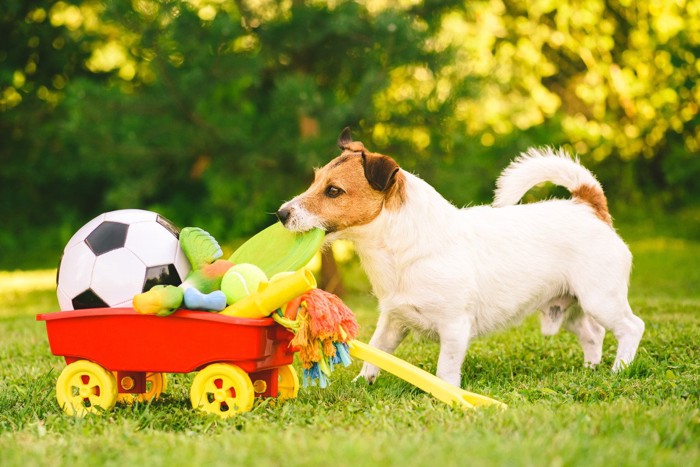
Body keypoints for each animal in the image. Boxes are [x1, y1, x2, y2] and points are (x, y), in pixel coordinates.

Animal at [274, 127, 644, 388]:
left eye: (333, 191)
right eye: (315, 180)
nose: (281, 213)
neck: (399, 247)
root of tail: (588, 206)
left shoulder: (454, 326)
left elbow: (446, 368)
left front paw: (446, 393)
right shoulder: (392, 321)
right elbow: (377, 352)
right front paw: (363, 382)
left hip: (600, 298)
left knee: (631, 327)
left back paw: (619, 369)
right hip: (567, 306)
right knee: (593, 334)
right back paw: (590, 369)